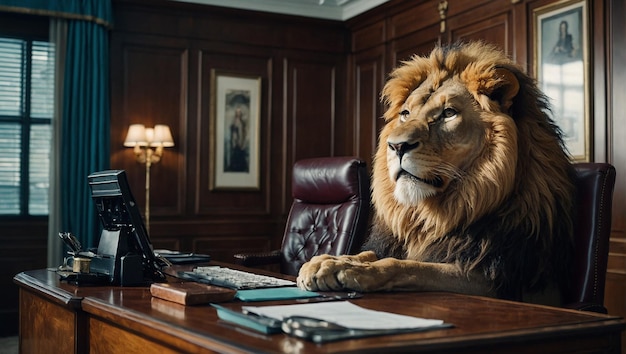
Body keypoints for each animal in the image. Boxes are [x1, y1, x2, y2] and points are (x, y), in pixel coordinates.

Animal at [298, 41, 576, 306]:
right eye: (405, 114)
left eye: (448, 113)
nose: (396, 146)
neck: (432, 217)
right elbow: (370, 254)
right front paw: (327, 262)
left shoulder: (490, 278)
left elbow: (410, 266)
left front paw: (355, 271)